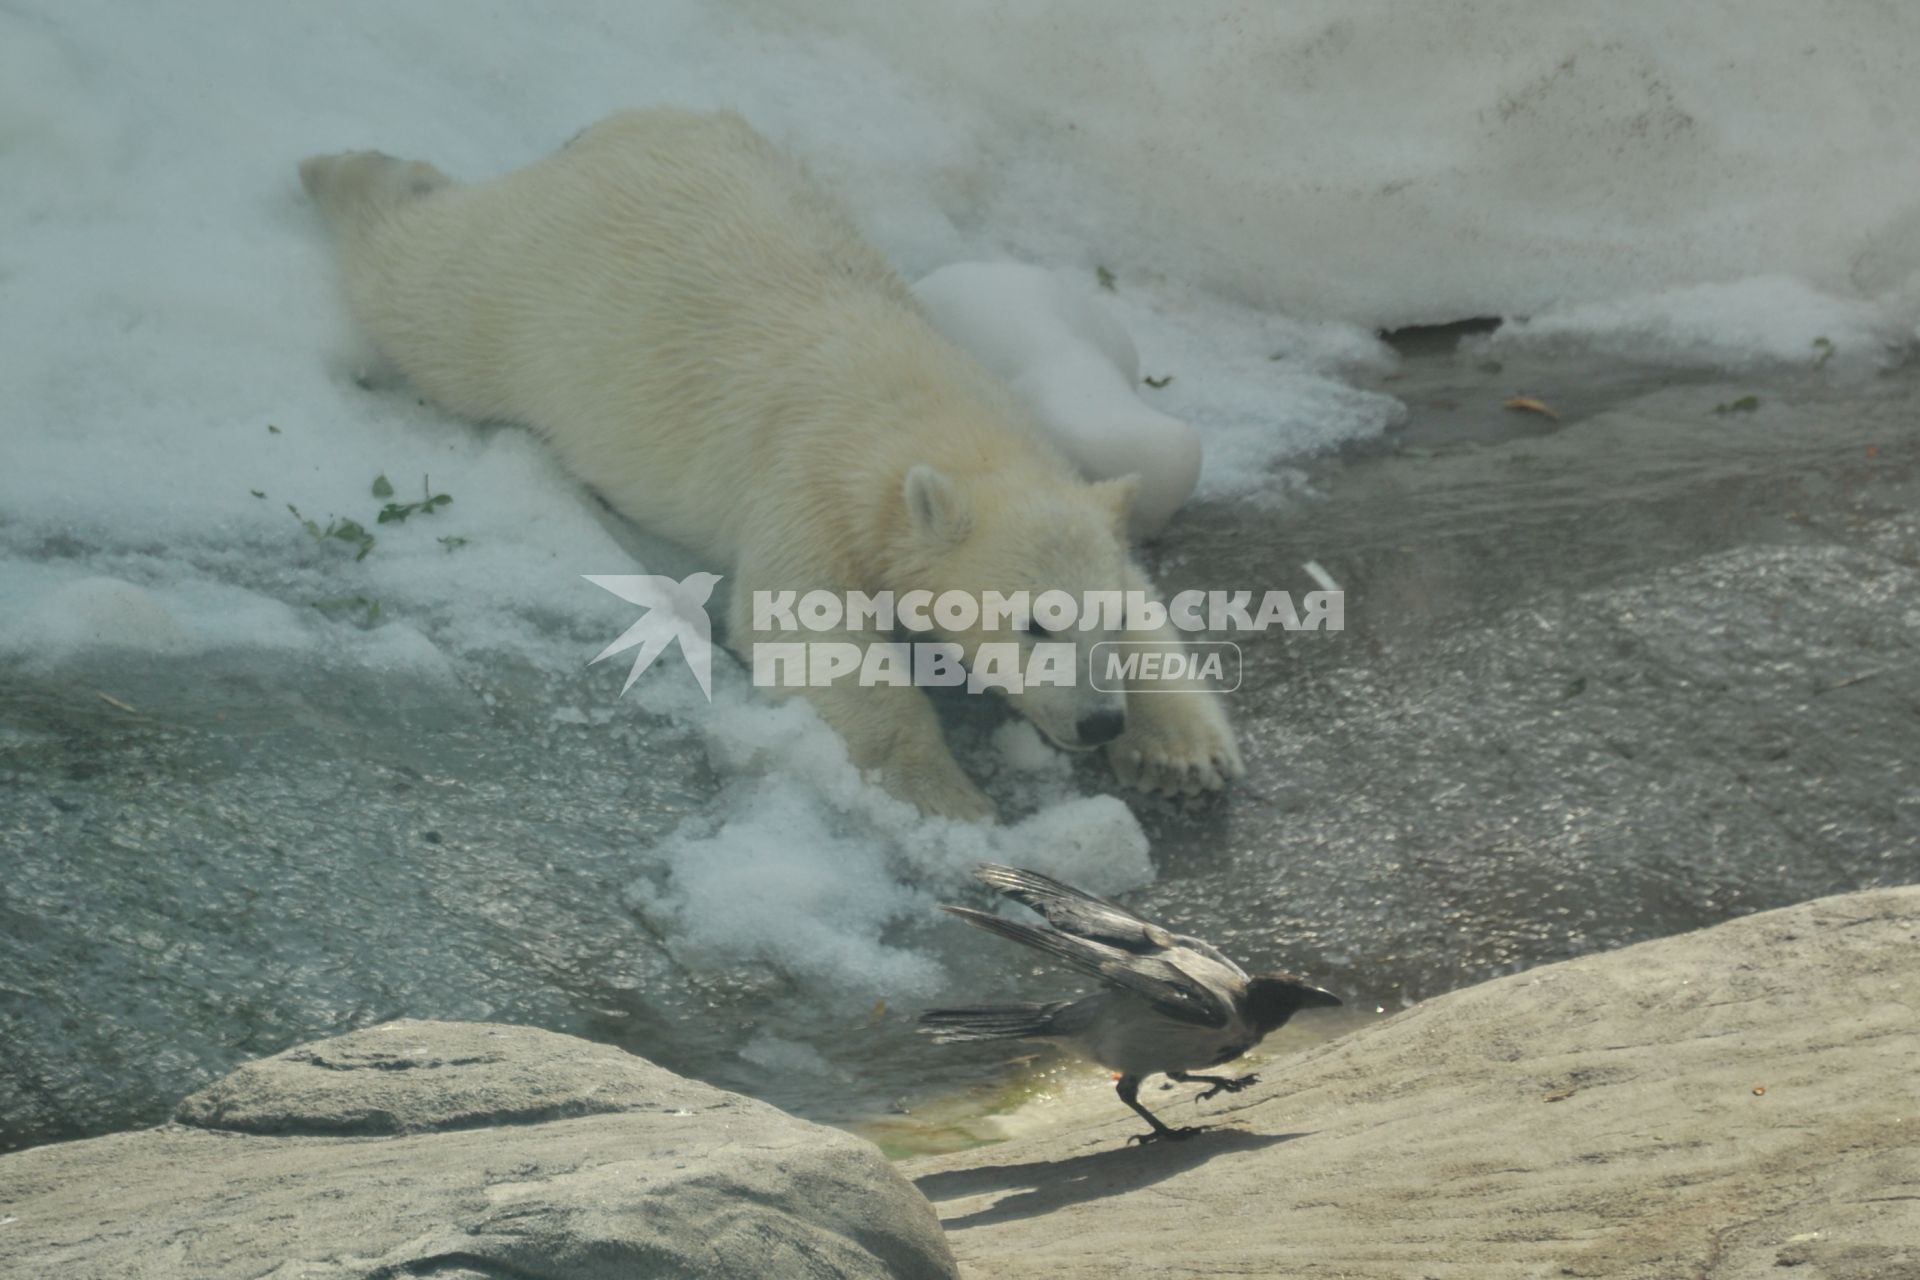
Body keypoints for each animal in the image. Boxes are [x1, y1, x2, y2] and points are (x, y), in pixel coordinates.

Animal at [291, 115, 1236, 825]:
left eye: (1102, 618)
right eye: (1035, 623)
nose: (1097, 720)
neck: (925, 412)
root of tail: (607, 135)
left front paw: (1181, 752)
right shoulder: (810, 484)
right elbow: (808, 627)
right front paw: (950, 796)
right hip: (529, 292)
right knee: (426, 289)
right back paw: (345, 167)